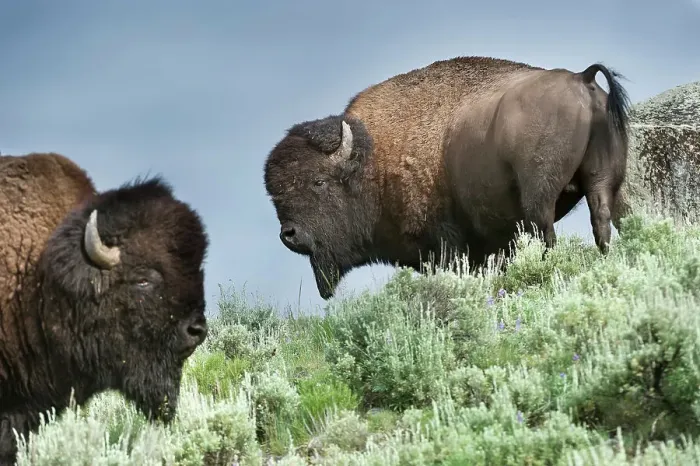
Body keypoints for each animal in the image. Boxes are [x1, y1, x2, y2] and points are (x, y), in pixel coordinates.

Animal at [264, 56, 631, 299]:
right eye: (275, 195)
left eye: (319, 182)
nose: (289, 235)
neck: (373, 159)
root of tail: (582, 79)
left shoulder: (445, 242)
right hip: (601, 182)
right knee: (601, 221)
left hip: (538, 200)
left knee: (547, 236)